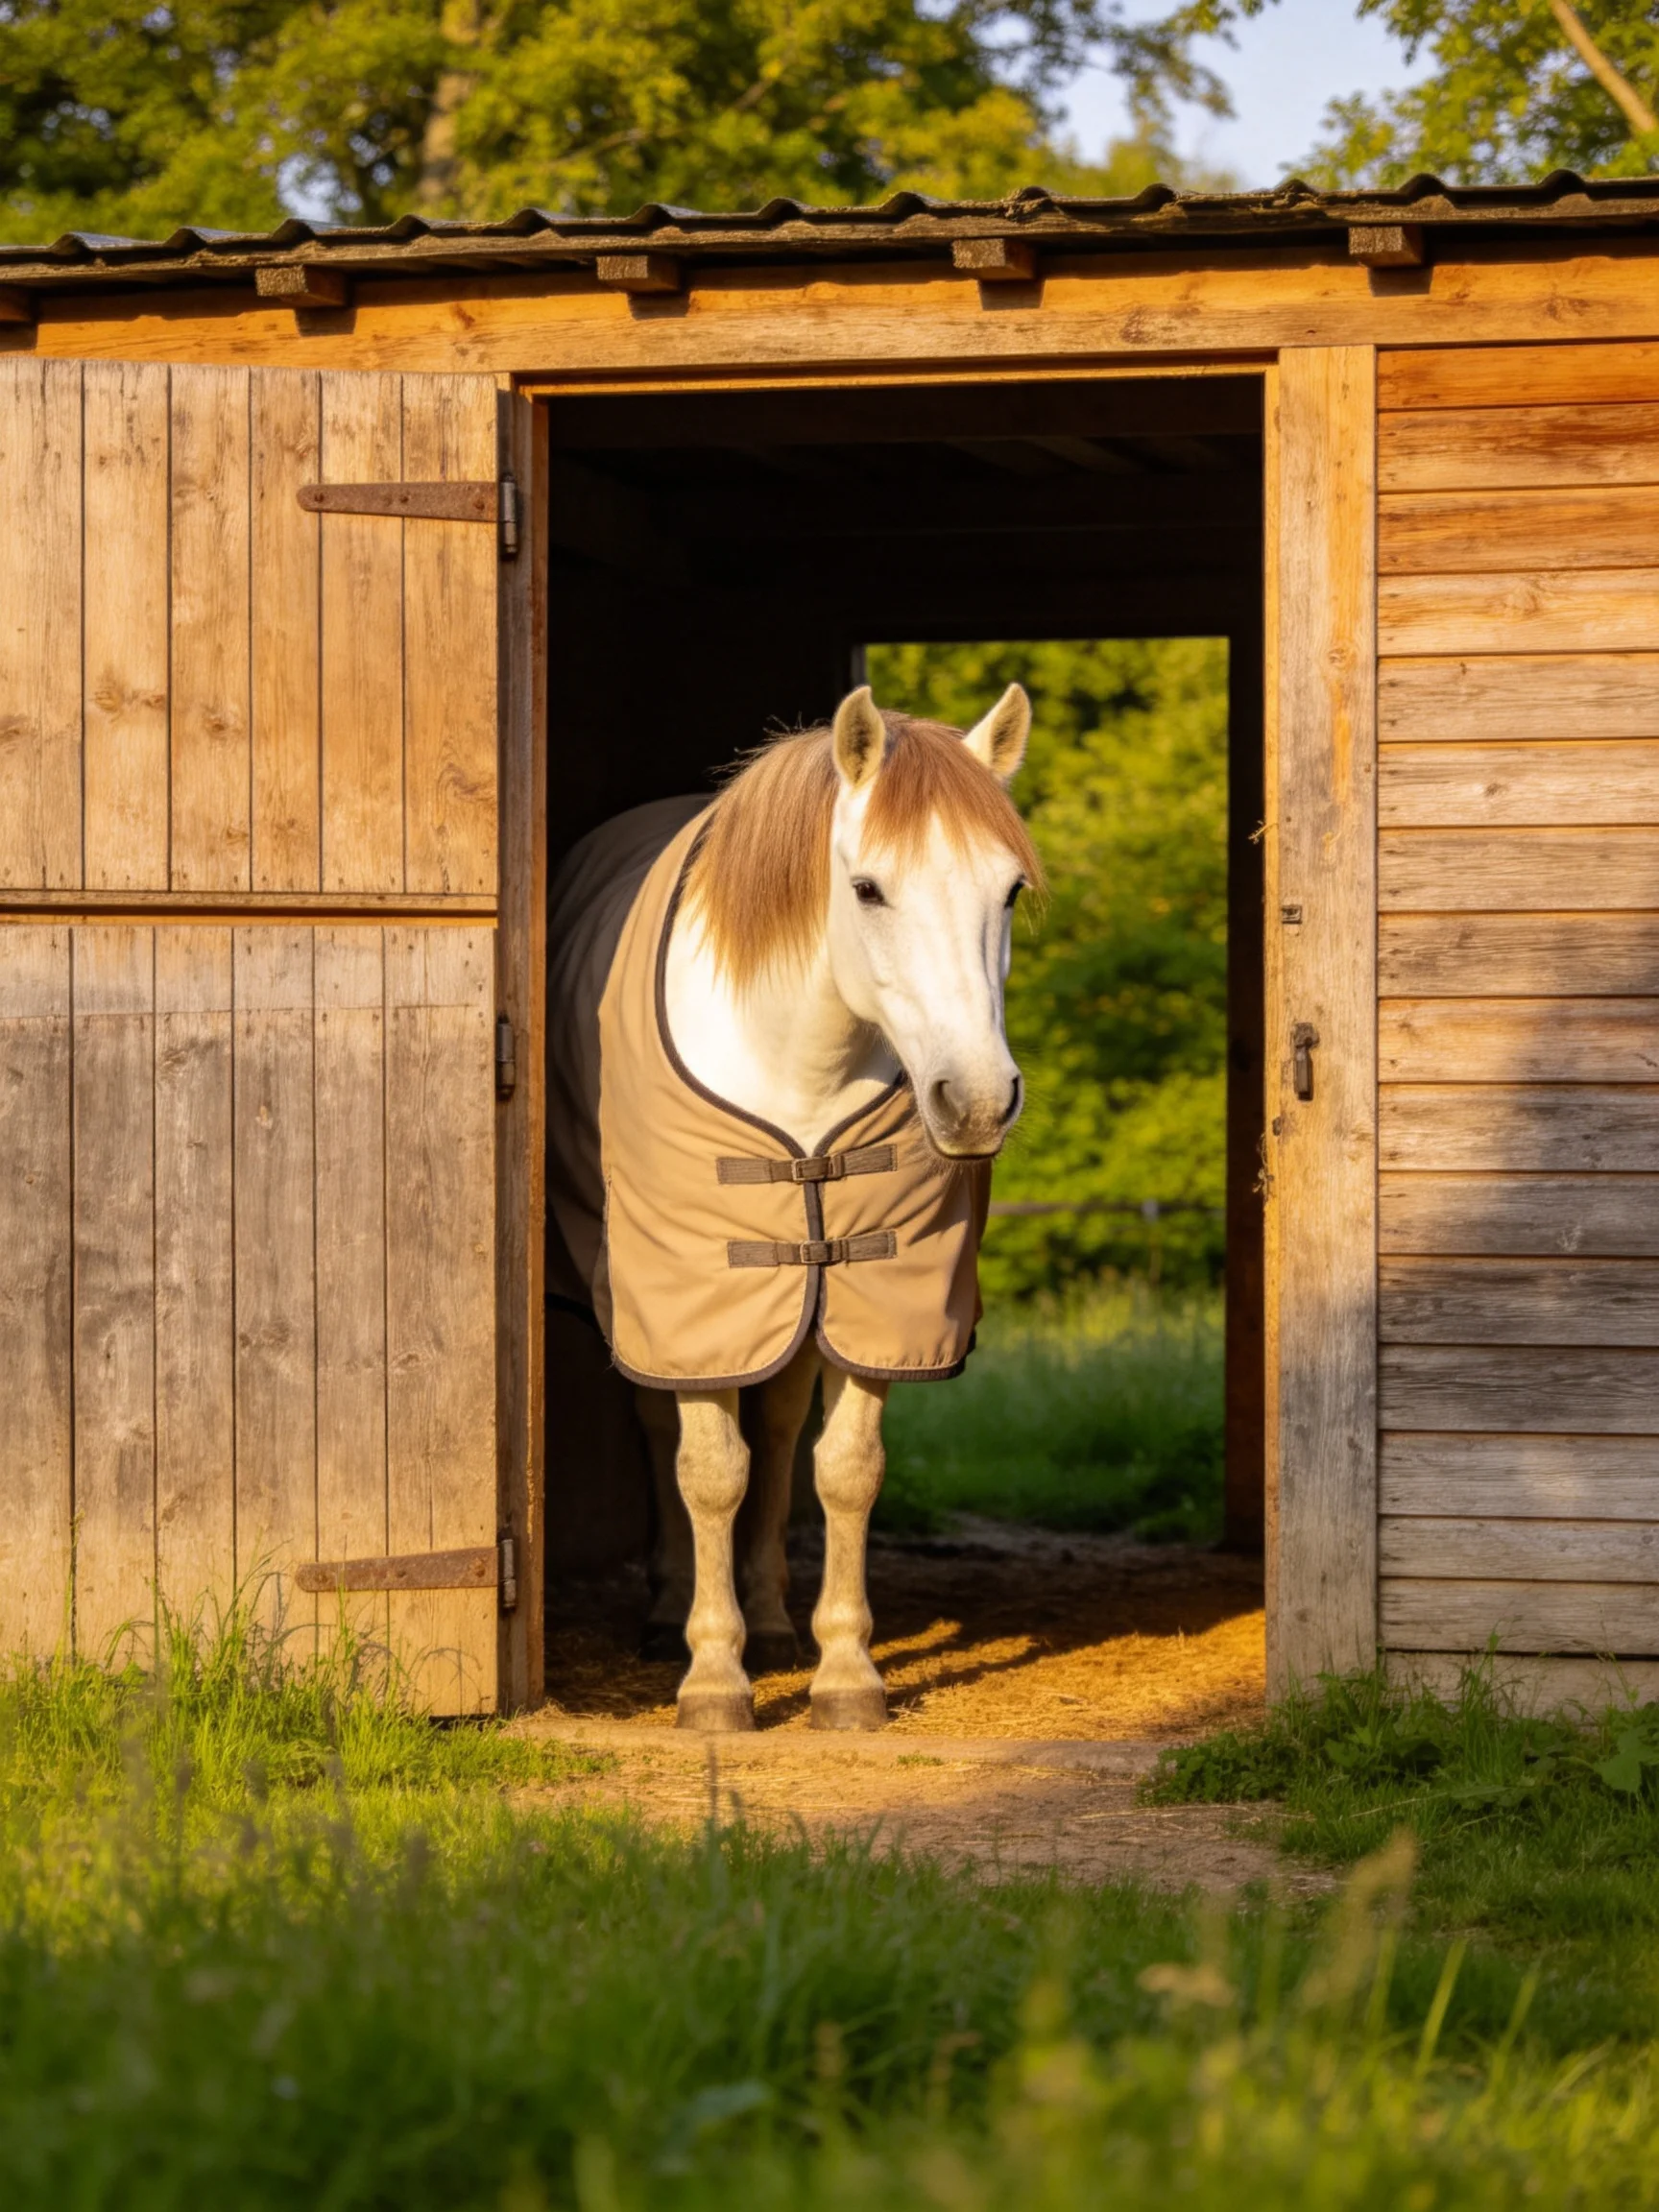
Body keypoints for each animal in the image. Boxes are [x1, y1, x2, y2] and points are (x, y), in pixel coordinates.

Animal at [548, 682, 1041, 1731]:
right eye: (869, 889)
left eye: (1010, 892)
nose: (978, 1101)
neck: (796, 1056)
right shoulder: (690, 1285)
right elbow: (708, 1470)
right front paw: (712, 1678)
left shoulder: (875, 1285)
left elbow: (843, 1468)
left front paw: (845, 1673)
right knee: (667, 1431)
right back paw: (669, 1611)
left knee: (775, 1427)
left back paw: (772, 1618)